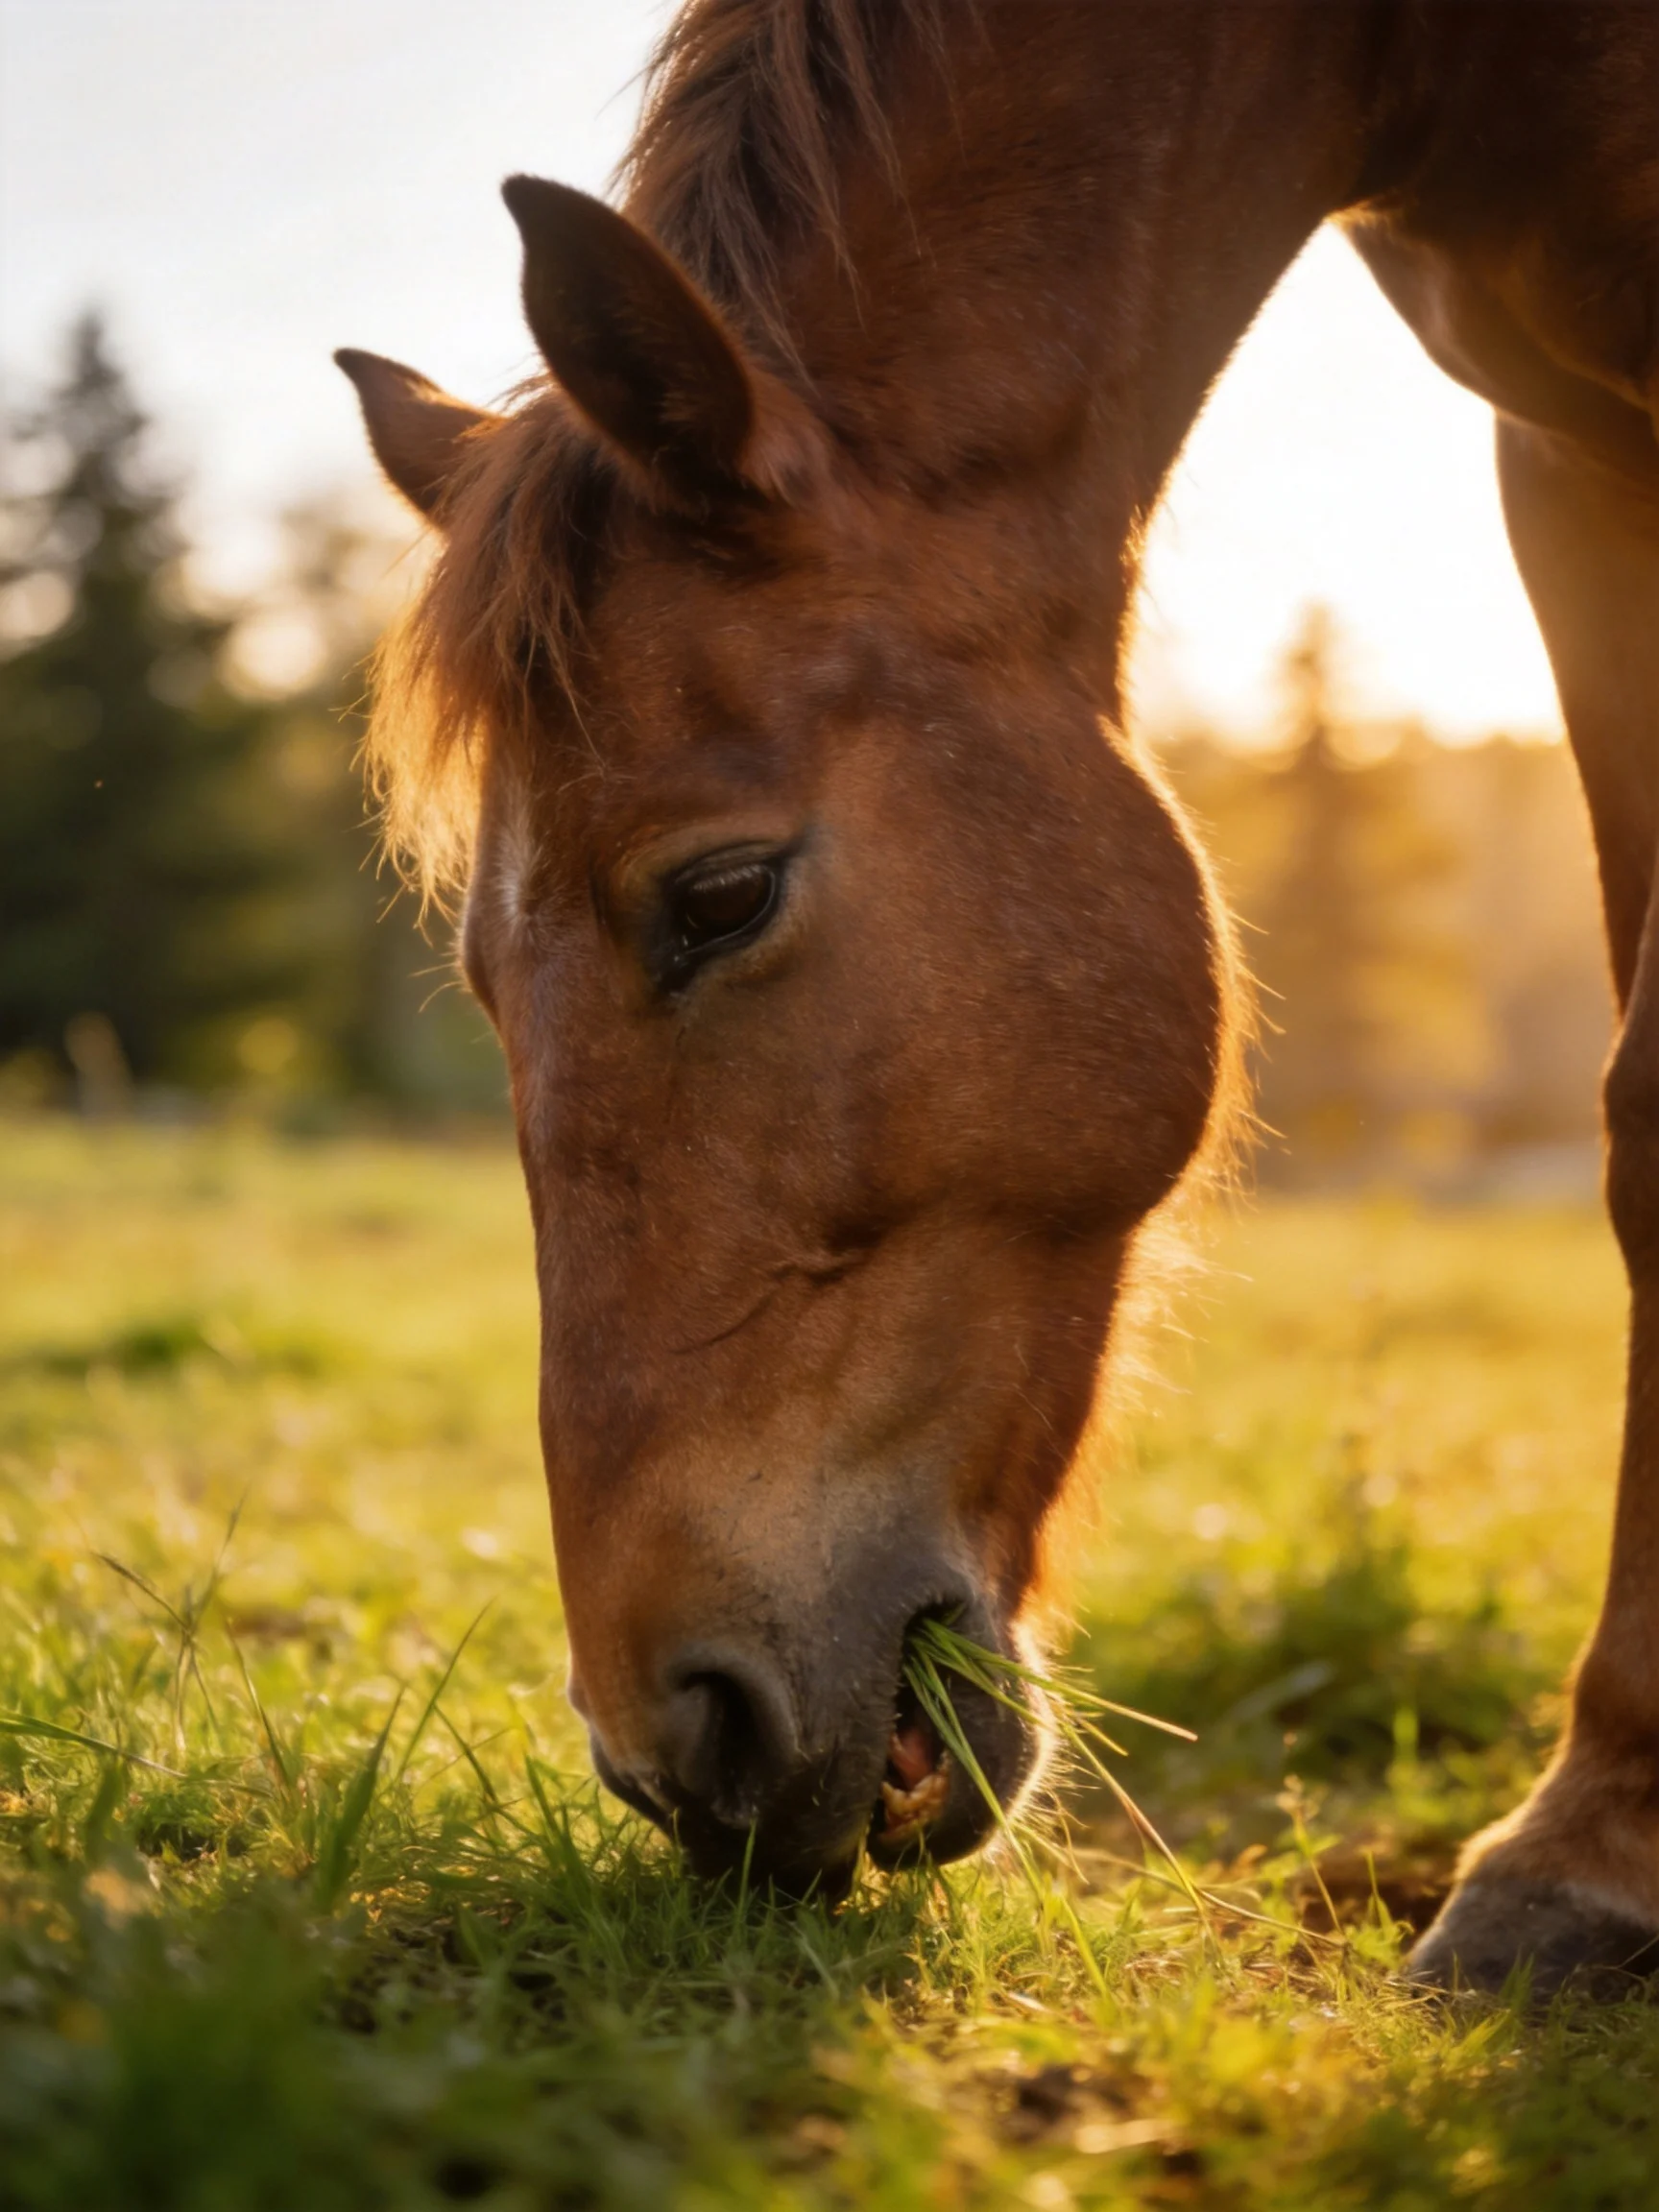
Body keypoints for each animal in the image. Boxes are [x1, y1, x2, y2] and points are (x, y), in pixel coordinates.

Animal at [336, 0, 1659, 1994]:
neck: (1443, 55)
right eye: (481, 975)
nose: (672, 1745)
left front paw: (1588, 1847)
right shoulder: (1565, 458)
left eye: (717, 894)